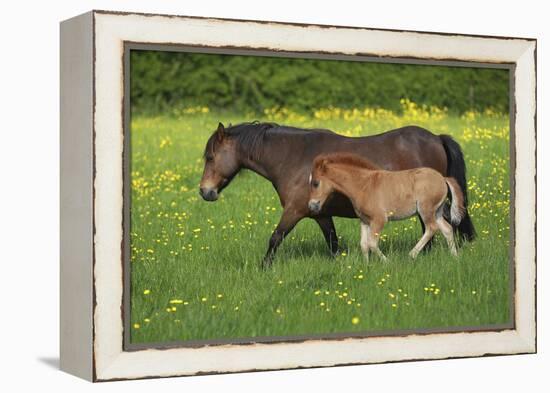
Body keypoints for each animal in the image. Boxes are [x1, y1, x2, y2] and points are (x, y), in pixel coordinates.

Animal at [308, 153, 468, 260]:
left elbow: (372, 243)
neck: (364, 185)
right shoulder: (365, 220)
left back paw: (412, 254)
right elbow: (364, 244)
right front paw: (366, 266)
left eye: (315, 183)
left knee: (431, 228)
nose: (312, 205)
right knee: (447, 229)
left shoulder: (379, 219)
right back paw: (455, 256)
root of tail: (442, 178)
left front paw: (386, 262)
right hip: (437, 211)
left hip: (426, 209)